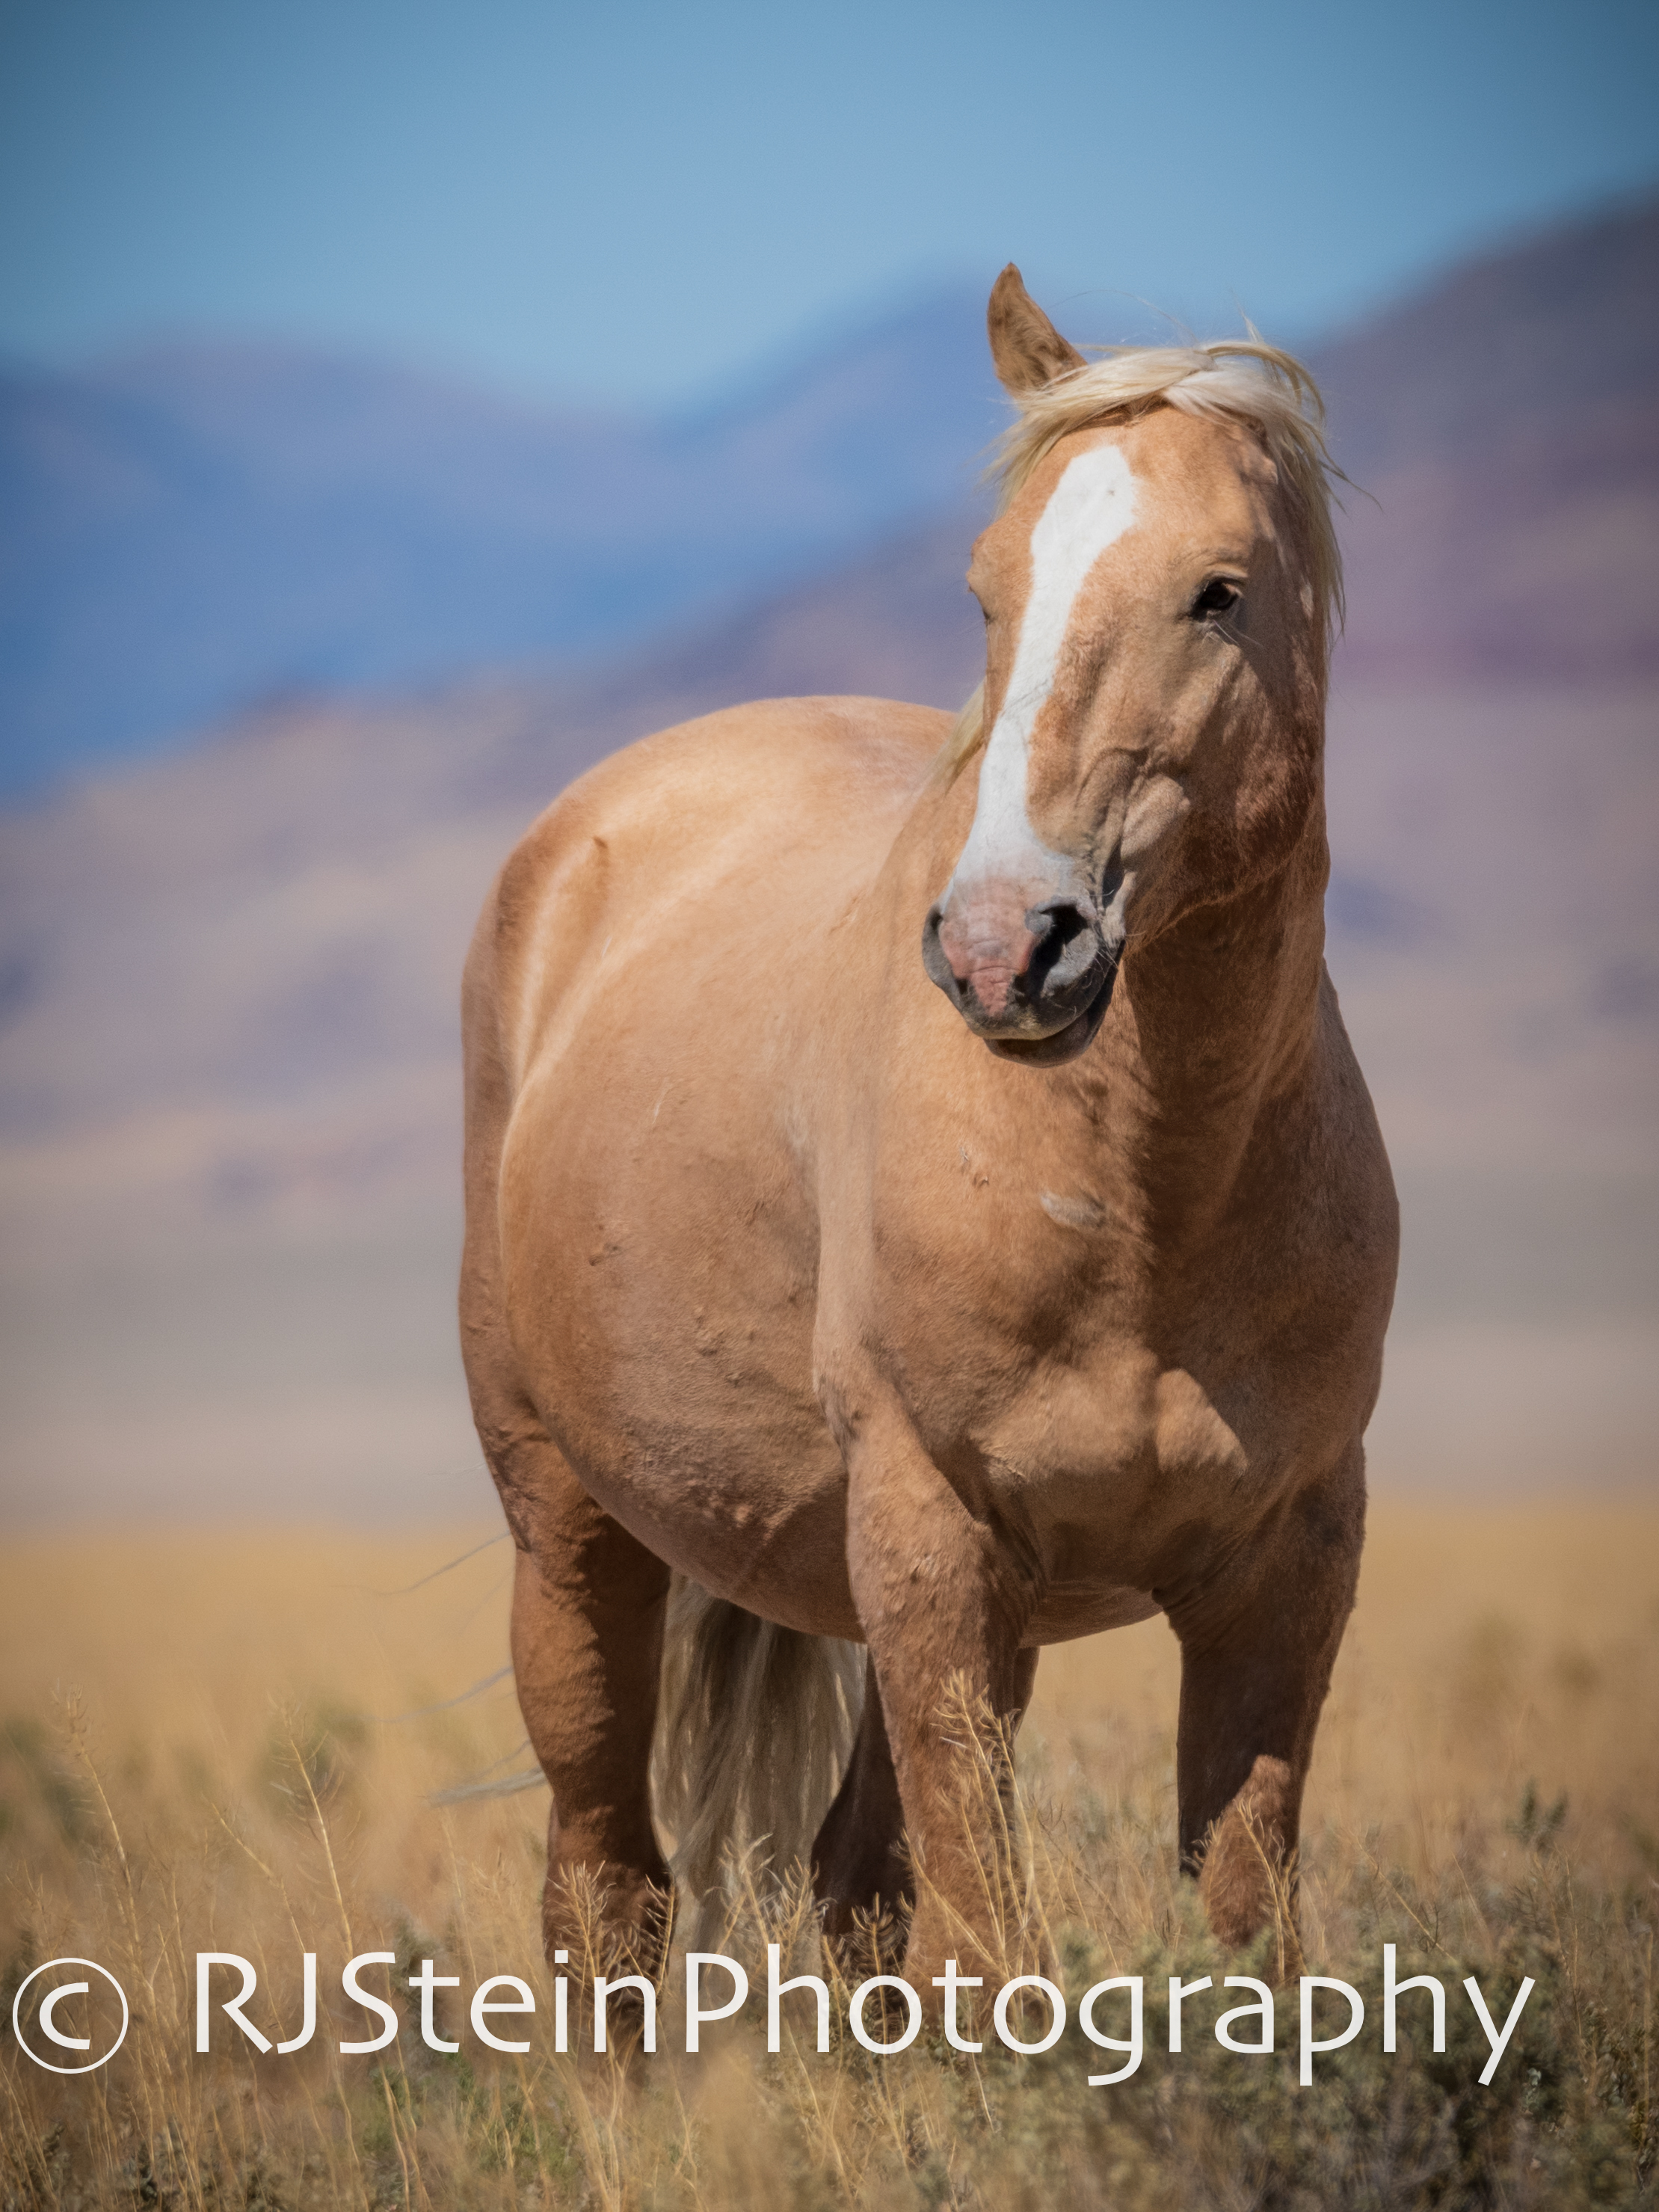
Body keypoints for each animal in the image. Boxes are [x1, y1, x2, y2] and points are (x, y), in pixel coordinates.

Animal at [458, 267, 1406, 1982]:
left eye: (1217, 593)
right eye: (984, 593)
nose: (997, 948)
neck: (1137, 1199)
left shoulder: (1283, 1567)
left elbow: (1236, 1926)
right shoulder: (931, 1541)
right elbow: (982, 1942)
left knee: (841, 1896)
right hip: (566, 1527)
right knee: (606, 1886)